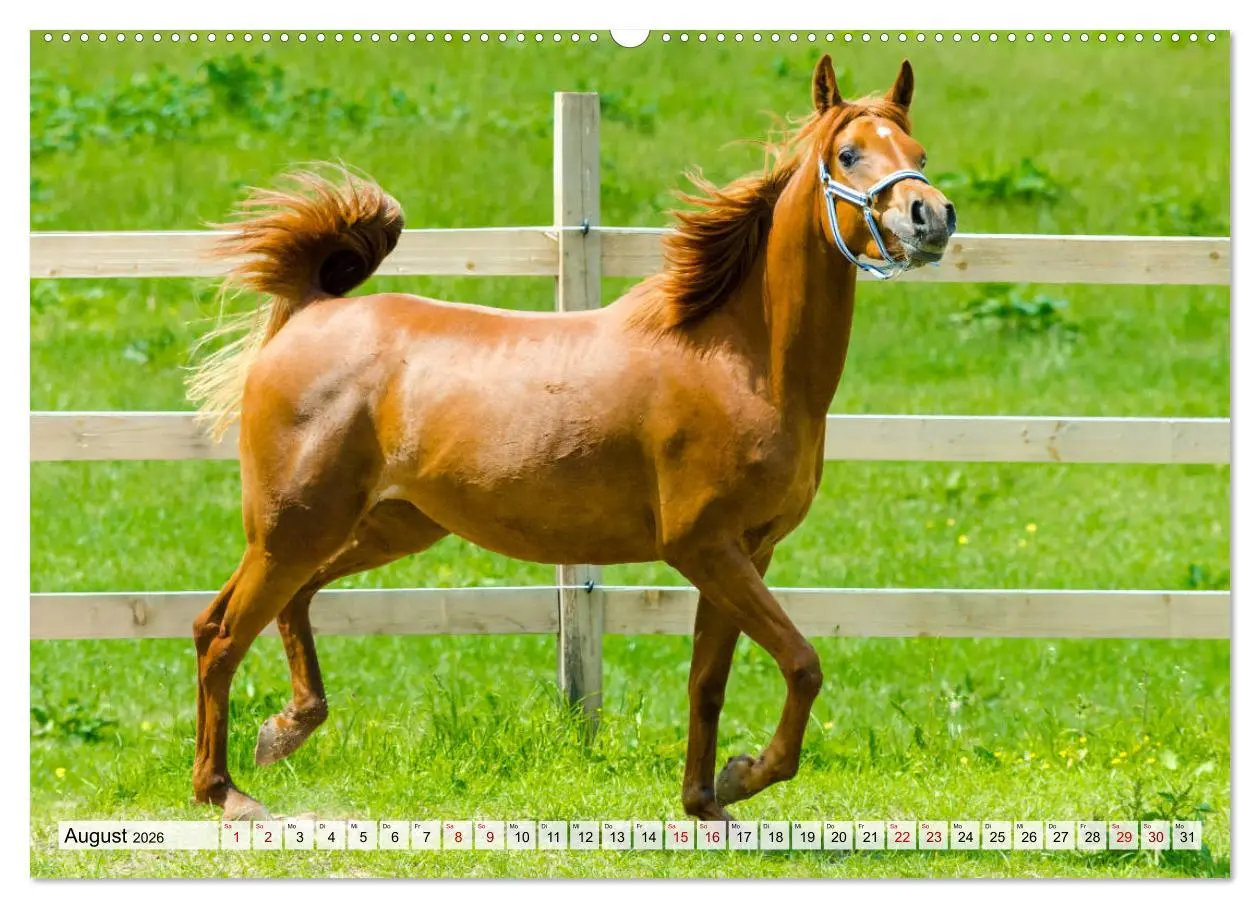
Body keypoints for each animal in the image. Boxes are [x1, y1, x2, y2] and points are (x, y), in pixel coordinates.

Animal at [186, 55, 956, 821]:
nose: (932, 218)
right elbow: (802, 663)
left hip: (383, 527)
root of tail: (309, 312)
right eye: (849, 154)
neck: (743, 359)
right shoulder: (705, 547)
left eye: (918, 153)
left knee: (273, 607)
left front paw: (705, 802)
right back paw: (225, 790)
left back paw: (285, 730)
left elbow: (707, 683)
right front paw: (743, 776)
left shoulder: (747, 553)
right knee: (222, 634)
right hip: (294, 529)